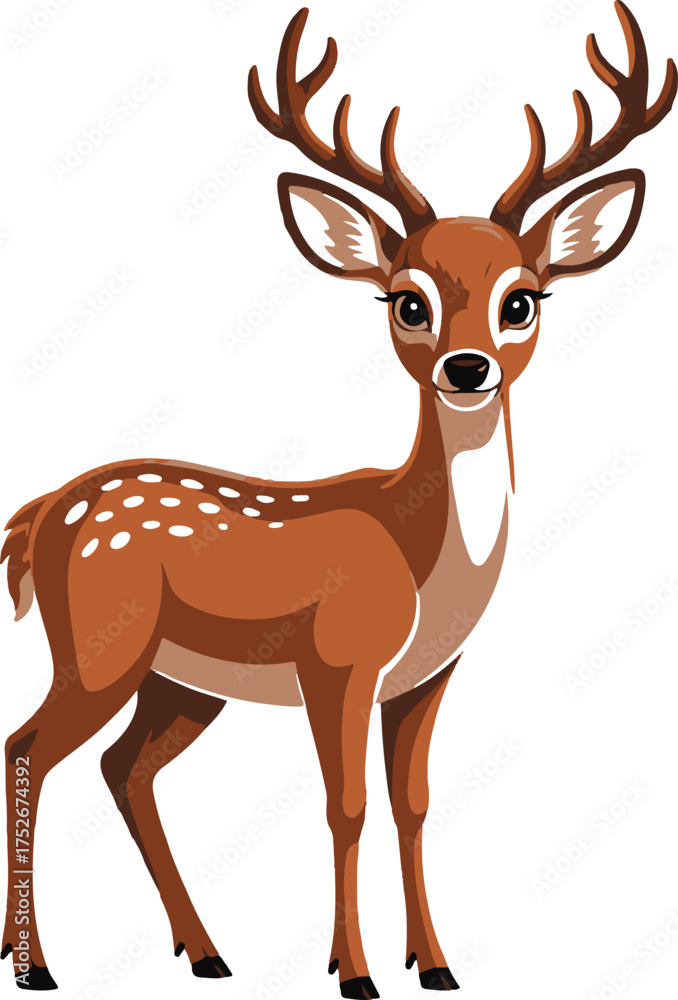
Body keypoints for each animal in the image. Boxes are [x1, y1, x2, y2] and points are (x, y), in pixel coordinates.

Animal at [2, 3, 675, 996]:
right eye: (407, 301)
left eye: (522, 300)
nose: (465, 367)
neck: (422, 560)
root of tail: (43, 510)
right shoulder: (337, 660)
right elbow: (345, 805)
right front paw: (353, 971)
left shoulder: (427, 677)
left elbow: (413, 804)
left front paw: (435, 965)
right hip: (97, 645)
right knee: (28, 747)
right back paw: (38, 963)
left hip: (180, 682)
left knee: (125, 769)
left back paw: (207, 952)